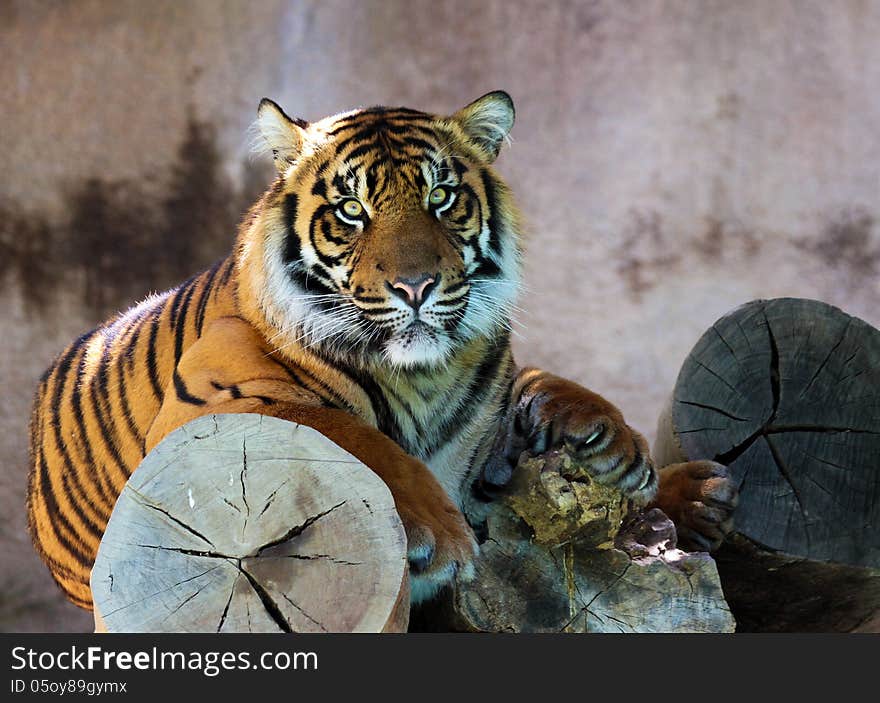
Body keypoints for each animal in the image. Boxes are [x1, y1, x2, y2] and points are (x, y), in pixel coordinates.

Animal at [25, 92, 736, 612]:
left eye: (440, 198)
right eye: (350, 209)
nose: (415, 286)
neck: (423, 374)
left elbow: (525, 395)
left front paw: (611, 443)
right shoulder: (206, 407)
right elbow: (347, 432)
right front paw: (438, 534)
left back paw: (698, 495)